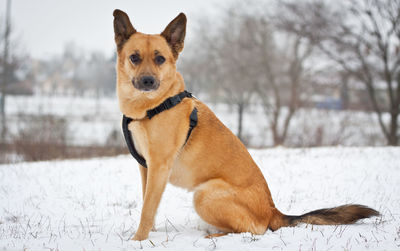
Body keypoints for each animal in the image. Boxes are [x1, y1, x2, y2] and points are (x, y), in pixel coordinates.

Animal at [112, 9, 378, 240]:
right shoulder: (147, 168)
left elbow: (147, 209)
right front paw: (150, 236)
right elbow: (149, 205)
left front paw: (138, 240)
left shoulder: (159, 167)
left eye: (160, 59)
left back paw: (214, 235)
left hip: (205, 194)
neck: (154, 105)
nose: (147, 81)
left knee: (252, 230)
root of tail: (272, 211)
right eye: (134, 58)